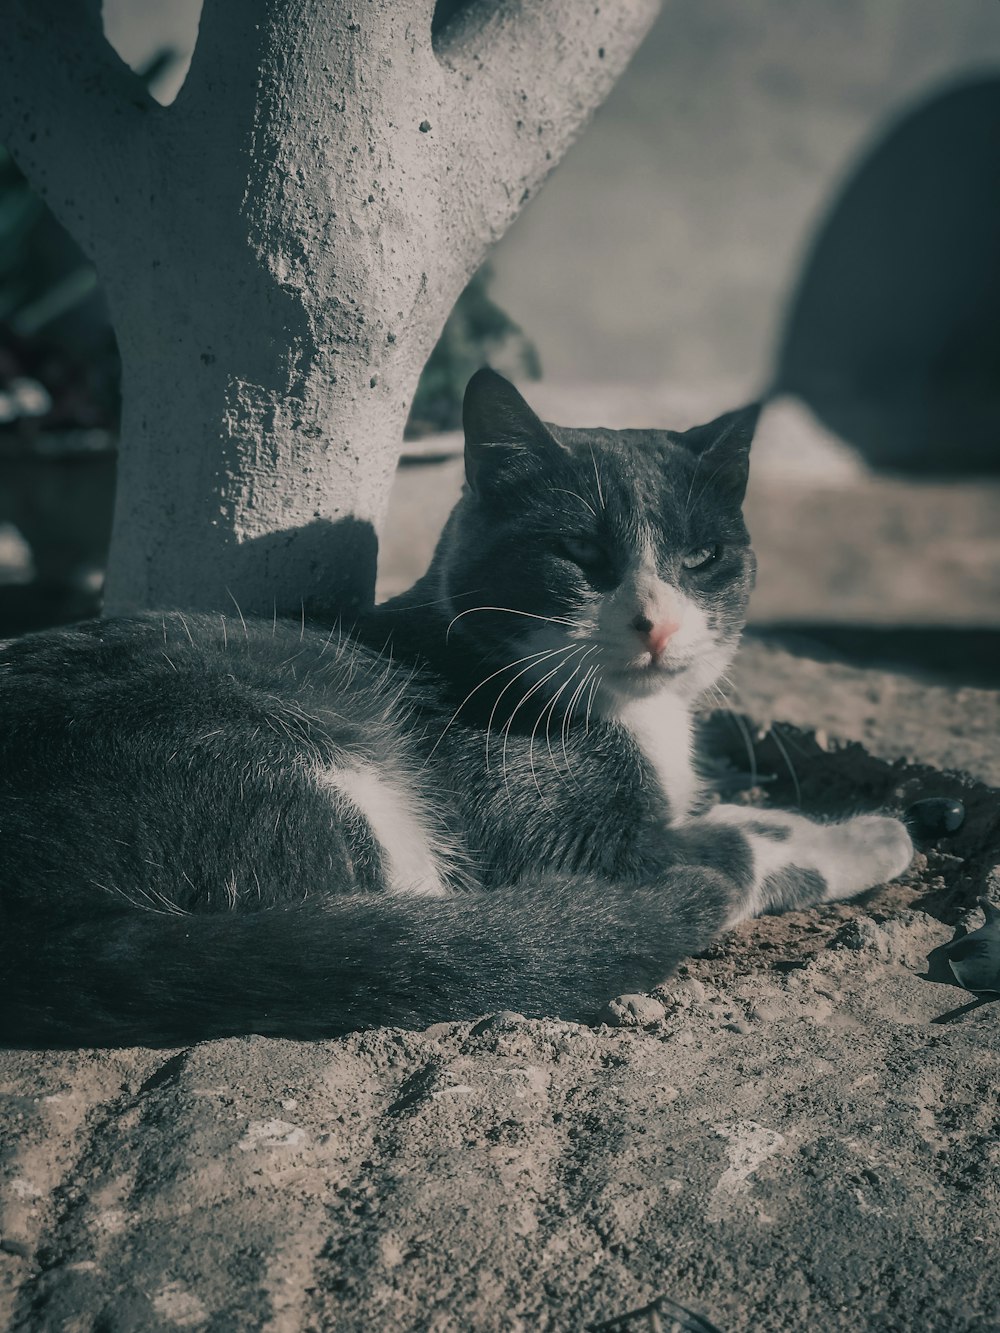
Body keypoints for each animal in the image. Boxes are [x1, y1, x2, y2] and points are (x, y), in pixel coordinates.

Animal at [0, 370, 917, 1045]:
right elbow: (731, 846)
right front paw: (866, 839)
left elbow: (742, 816)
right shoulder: (547, 830)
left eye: (702, 557)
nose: (657, 623)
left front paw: (860, 827)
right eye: (579, 553)